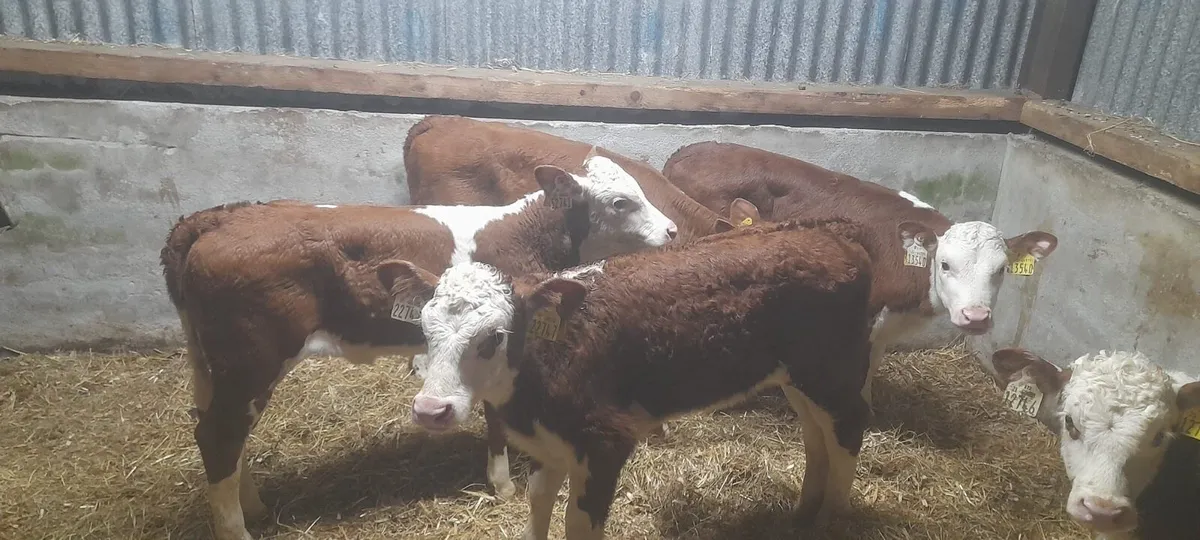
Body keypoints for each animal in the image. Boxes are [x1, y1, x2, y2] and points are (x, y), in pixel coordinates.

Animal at [160, 156, 675, 540]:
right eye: (622, 202)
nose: (672, 231)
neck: (523, 233)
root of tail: (215, 219)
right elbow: (495, 415)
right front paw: (501, 483)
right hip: (250, 359)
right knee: (218, 436)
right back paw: (239, 527)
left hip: (215, 365)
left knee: (221, 433)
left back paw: (254, 506)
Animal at [401, 218, 876, 539]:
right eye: (422, 328)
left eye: (494, 337)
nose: (431, 410)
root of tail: (831, 234)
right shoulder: (548, 442)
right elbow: (538, 503)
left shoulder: (605, 441)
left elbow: (578, 523)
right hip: (800, 376)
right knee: (817, 436)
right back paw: (803, 515)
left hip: (832, 371)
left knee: (849, 427)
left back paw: (831, 521)